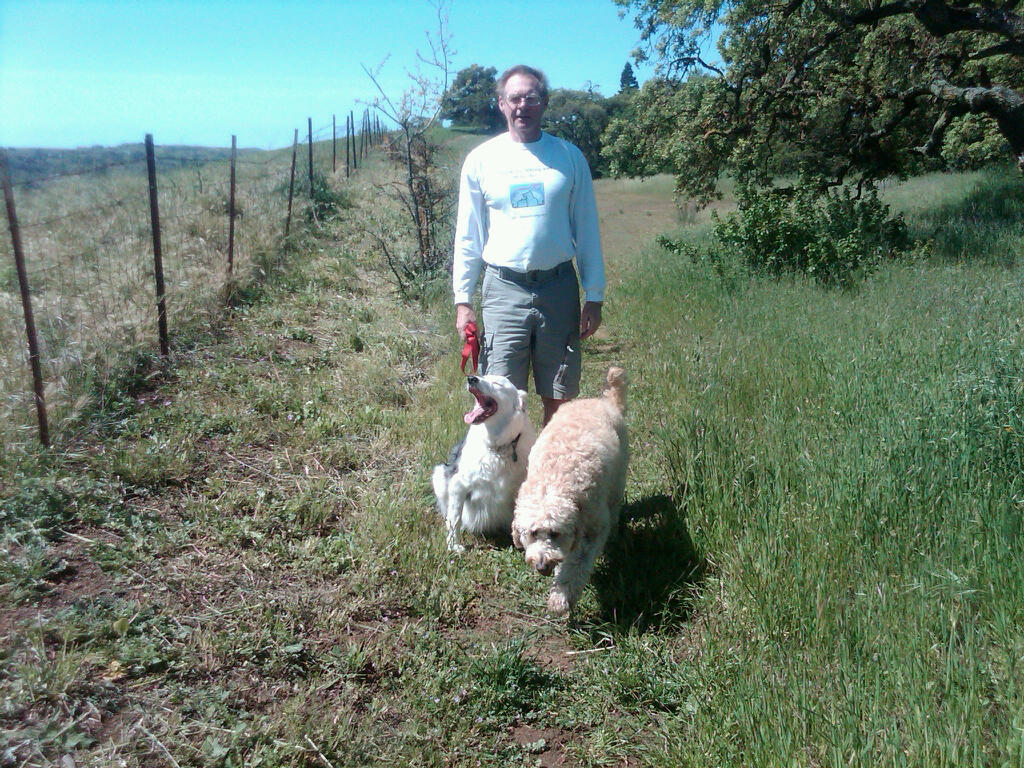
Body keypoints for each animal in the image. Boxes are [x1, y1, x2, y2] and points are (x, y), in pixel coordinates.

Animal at [433, 374, 536, 553]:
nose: (471, 378)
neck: (498, 447)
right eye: (483, 376)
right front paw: (454, 545)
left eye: (497, 383)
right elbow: (455, 518)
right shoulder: (458, 484)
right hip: (439, 473)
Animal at [513, 367, 628, 616]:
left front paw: (562, 597)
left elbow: (576, 565)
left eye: (555, 533)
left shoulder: (592, 529)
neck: (553, 481)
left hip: (618, 481)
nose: (541, 566)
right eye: (532, 533)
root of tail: (604, 401)